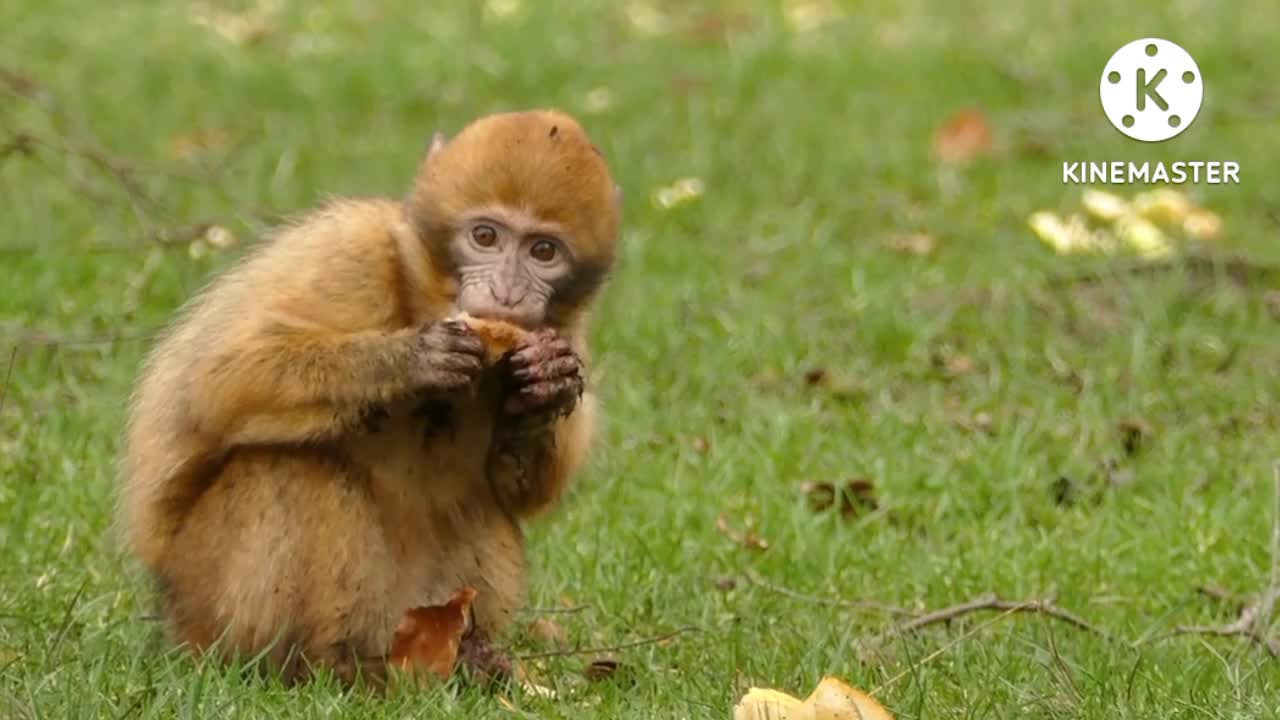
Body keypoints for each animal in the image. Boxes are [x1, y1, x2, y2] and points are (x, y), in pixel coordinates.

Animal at [120, 110, 619, 681]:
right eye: (485, 236)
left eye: (543, 251)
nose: (508, 293)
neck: (422, 294)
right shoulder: (352, 256)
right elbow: (219, 381)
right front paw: (410, 359)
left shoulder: (568, 330)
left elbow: (519, 490)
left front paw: (544, 386)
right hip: (203, 601)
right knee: (285, 468)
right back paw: (316, 668)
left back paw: (466, 657)